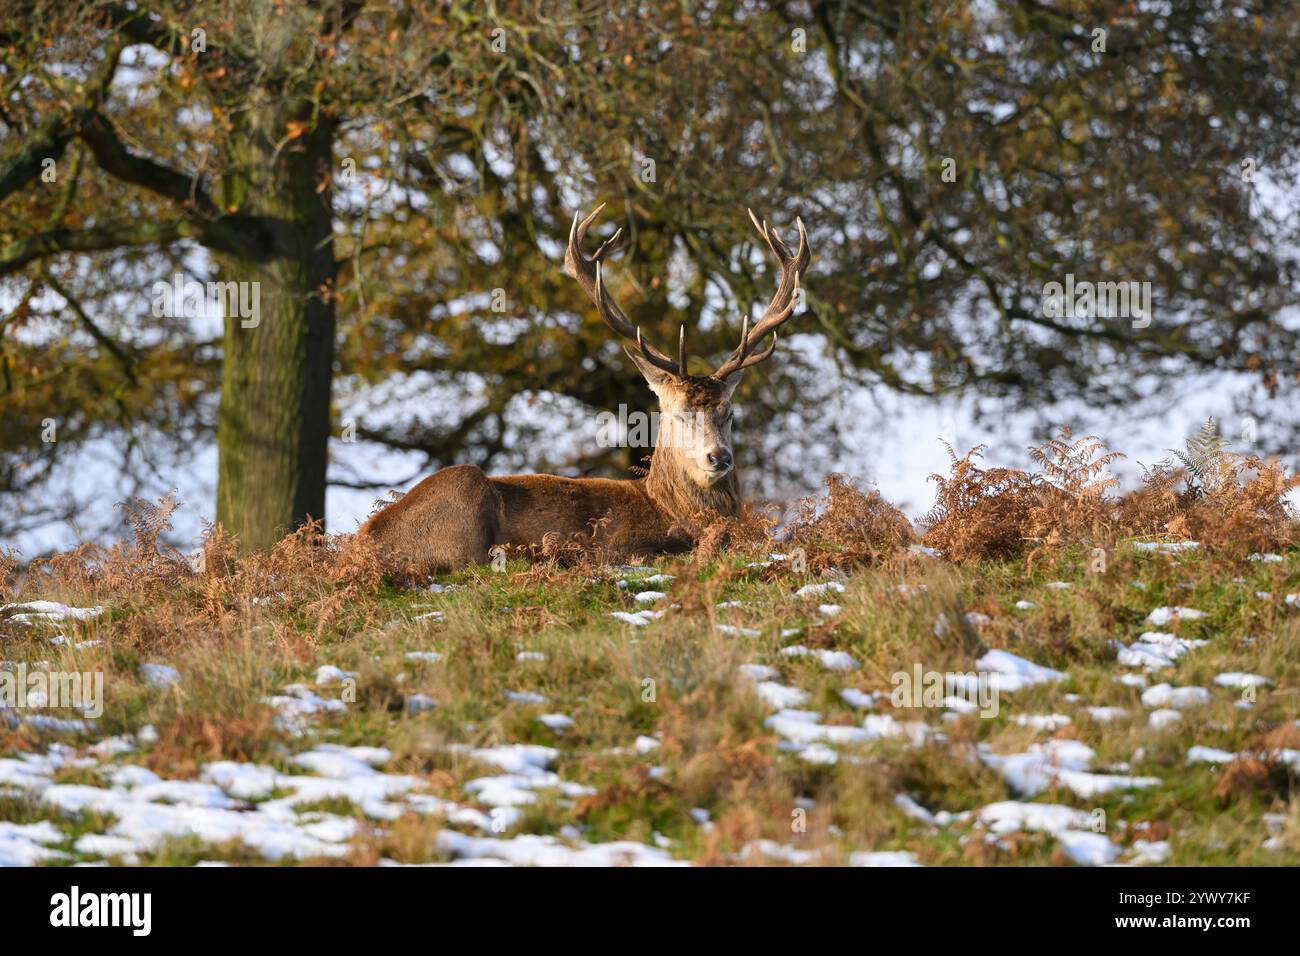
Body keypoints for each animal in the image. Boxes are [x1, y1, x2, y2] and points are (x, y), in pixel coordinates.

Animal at [359, 205, 810, 579]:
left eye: (730, 412)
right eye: (679, 412)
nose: (720, 457)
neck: (669, 507)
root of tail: (362, 544)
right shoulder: (618, 545)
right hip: (463, 498)